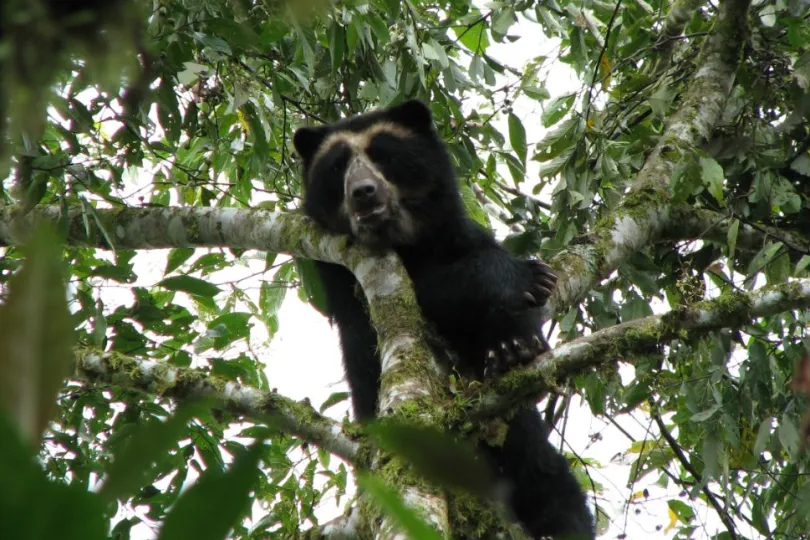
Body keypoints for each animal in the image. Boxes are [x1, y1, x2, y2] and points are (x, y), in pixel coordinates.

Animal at [292, 99, 592, 536]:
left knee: (553, 488)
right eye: (337, 167)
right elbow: (424, 293)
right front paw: (528, 277)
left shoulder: (457, 235)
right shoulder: (342, 279)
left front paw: (514, 346)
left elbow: (515, 313)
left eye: (384, 155)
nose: (363, 193)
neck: (408, 241)